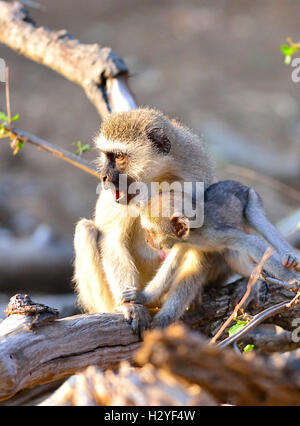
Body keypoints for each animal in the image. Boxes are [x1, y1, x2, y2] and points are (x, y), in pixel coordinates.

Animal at [74, 107, 216, 332]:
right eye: (107, 156)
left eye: (119, 157)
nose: (104, 176)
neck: (157, 179)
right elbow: (112, 239)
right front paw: (131, 306)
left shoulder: (196, 174)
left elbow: (198, 247)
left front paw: (168, 315)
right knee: (85, 229)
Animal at [120, 180, 298, 330]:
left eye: (151, 232)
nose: (147, 240)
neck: (194, 235)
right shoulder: (182, 244)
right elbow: (172, 264)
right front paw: (143, 296)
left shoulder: (214, 232)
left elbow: (251, 241)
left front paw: (291, 278)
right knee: (230, 253)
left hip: (251, 197)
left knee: (254, 218)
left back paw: (284, 260)